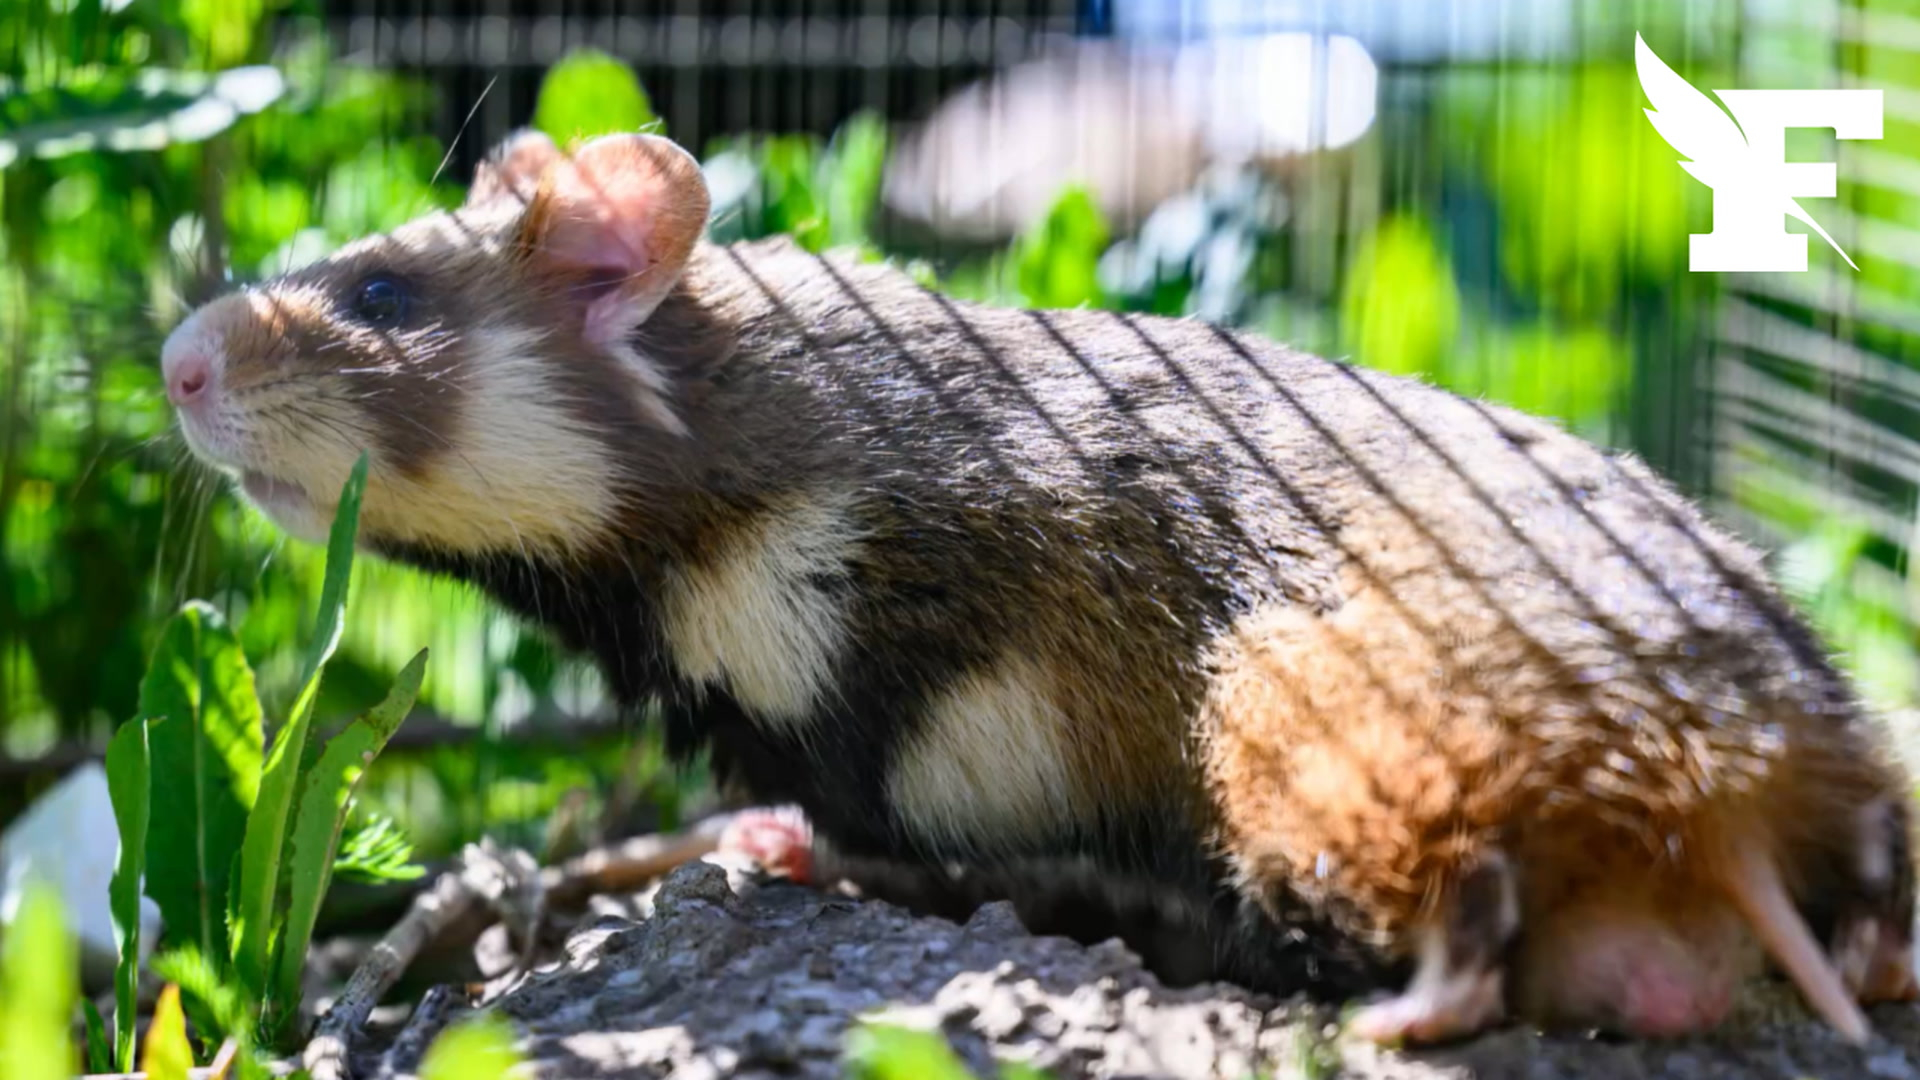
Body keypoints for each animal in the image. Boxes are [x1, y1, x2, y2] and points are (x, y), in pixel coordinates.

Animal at [160, 129, 1918, 1045]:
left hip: (1330, 722)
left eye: (381, 292)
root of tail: (1740, 791)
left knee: (1473, 909)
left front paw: (764, 848)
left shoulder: (955, 695)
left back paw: (1400, 1017)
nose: (171, 360)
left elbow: (895, 835)